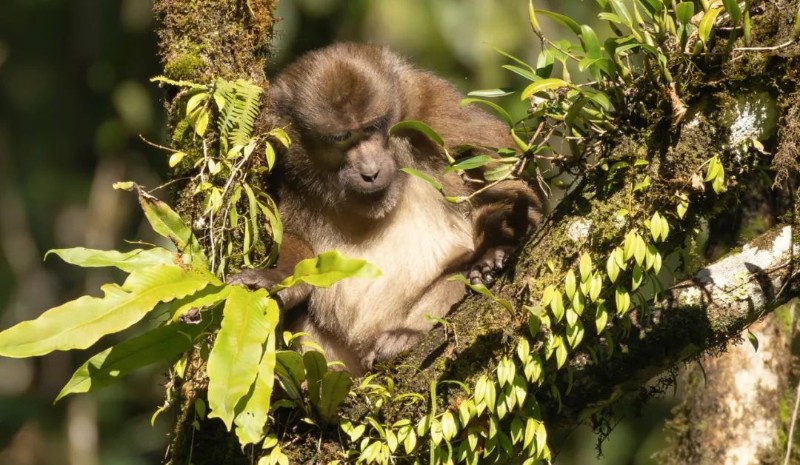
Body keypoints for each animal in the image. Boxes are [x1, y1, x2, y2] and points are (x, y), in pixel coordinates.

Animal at [231, 43, 544, 376]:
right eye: (342, 138)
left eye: (371, 128)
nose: (370, 171)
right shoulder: (284, 159)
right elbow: (294, 236)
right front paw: (280, 278)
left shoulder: (435, 111)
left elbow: (514, 182)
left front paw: (501, 240)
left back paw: (406, 334)